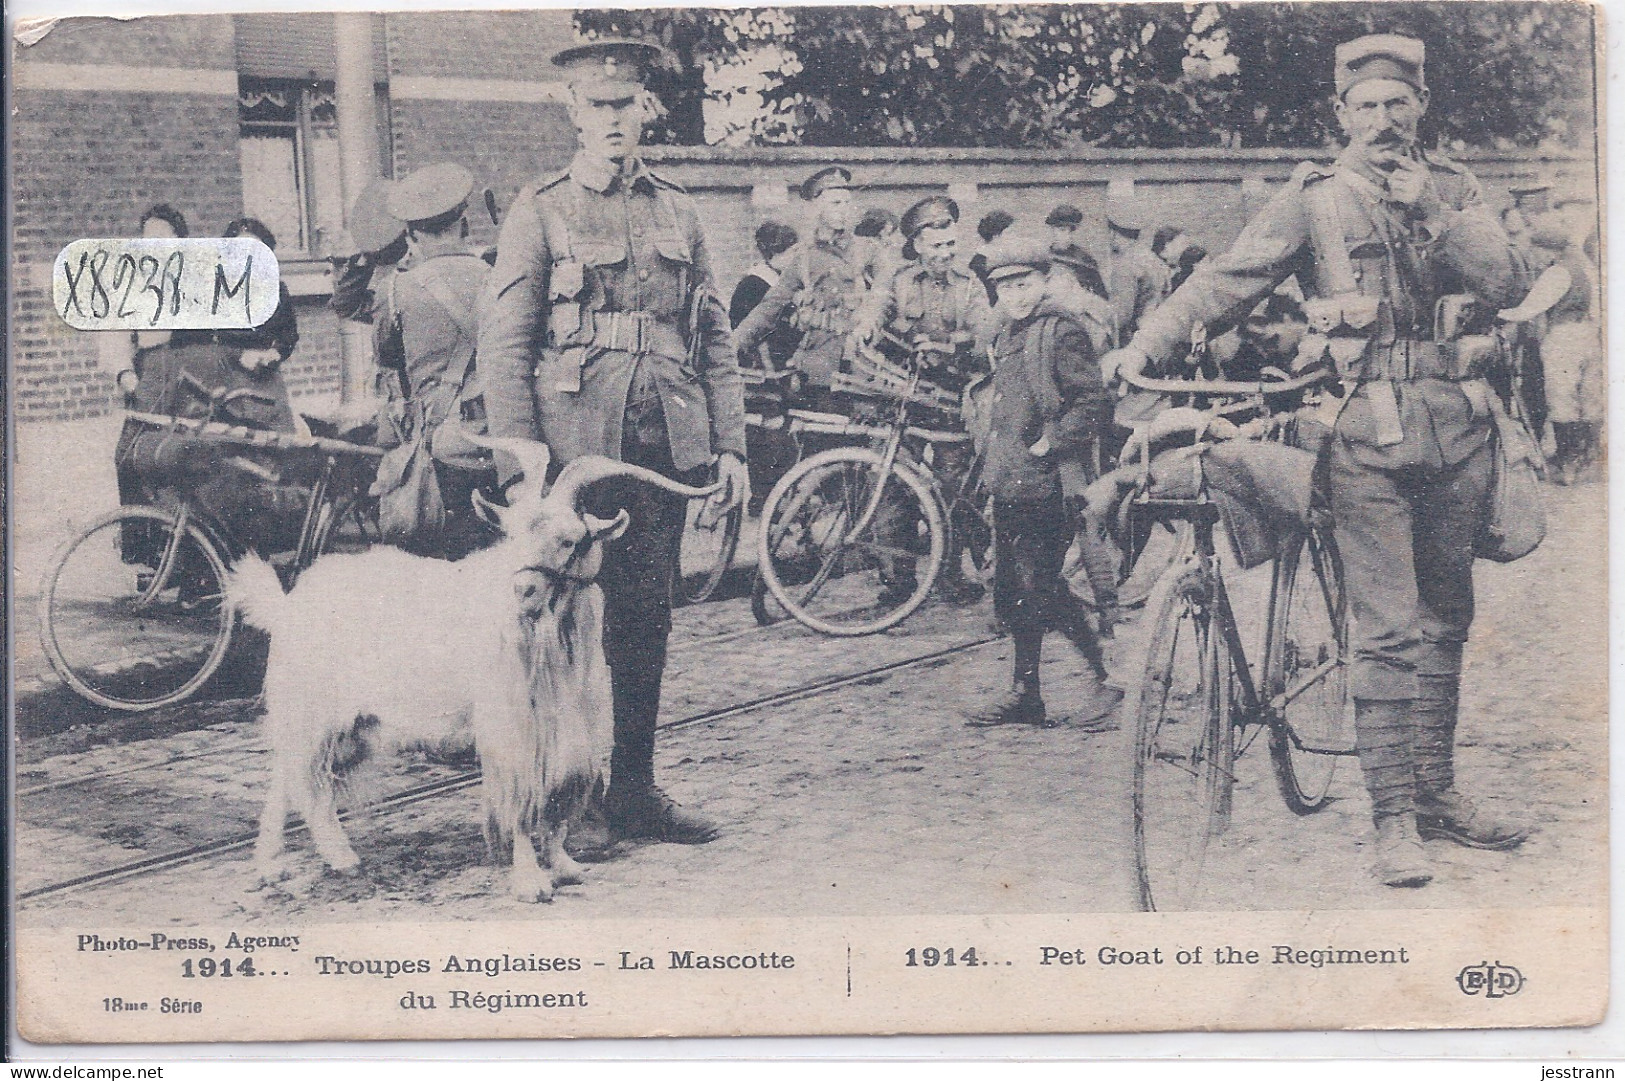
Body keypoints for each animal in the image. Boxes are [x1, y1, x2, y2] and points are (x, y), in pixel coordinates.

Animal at [227, 435, 718, 897]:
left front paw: (564, 865)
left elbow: (555, 794)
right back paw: (290, 863)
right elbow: (520, 798)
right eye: (511, 535)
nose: (522, 591)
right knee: (292, 777)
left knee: (295, 780)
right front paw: (530, 881)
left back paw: (323, 859)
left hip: (353, 723)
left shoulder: (565, 726)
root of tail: (287, 603)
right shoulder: (511, 728)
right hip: (310, 711)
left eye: (568, 539)